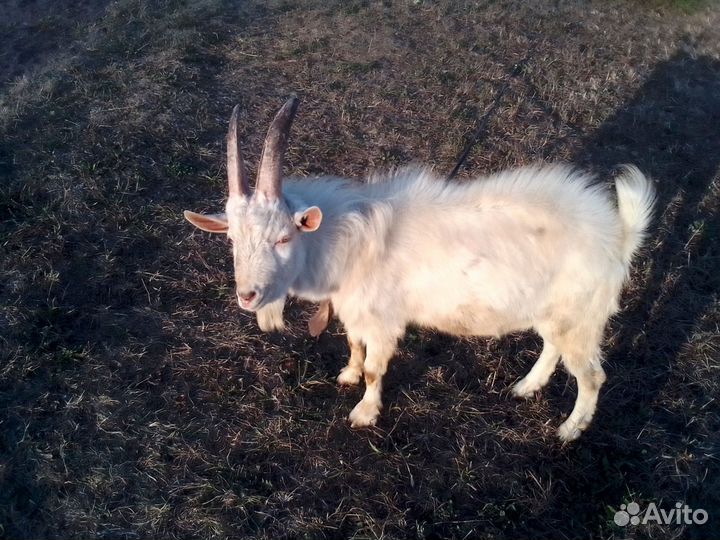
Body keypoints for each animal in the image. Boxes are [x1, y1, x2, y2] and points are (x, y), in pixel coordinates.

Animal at [184, 97, 655, 441]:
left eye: (284, 237)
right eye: (232, 238)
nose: (248, 296)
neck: (347, 242)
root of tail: (617, 236)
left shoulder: (383, 320)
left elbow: (375, 368)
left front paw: (364, 412)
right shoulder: (355, 312)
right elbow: (353, 345)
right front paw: (347, 374)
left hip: (580, 315)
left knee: (592, 375)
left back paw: (569, 430)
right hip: (557, 312)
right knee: (553, 347)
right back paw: (525, 387)